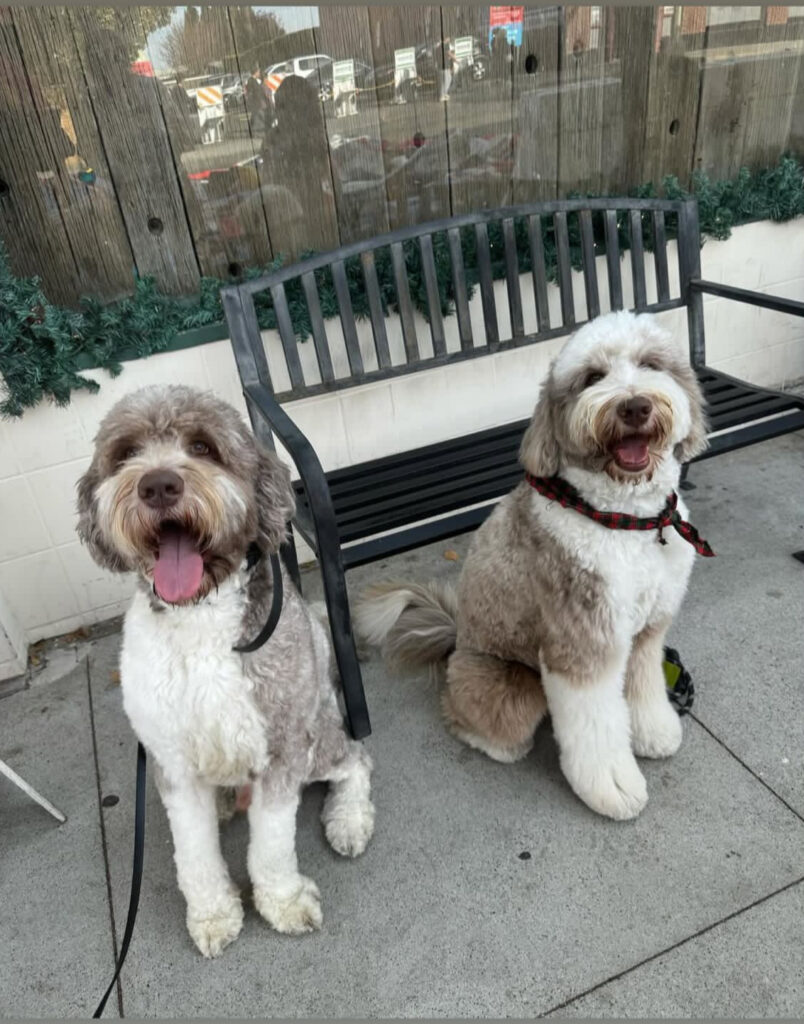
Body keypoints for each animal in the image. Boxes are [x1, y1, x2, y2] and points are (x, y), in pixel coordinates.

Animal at [76, 385, 374, 958]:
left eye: (203, 447)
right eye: (126, 453)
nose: (158, 484)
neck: (201, 616)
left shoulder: (280, 750)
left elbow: (272, 846)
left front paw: (282, 904)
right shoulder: (171, 760)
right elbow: (194, 853)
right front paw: (213, 915)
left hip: (319, 737)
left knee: (355, 760)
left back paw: (348, 819)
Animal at [358, 311, 708, 823]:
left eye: (650, 364)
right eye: (592, 378)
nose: (634, 407)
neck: (625, 520)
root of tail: (456, 641)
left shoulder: (646, 633)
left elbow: (643, 685)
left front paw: (654, 732)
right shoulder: (581, 644)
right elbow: (596, 726)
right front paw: (613, 788)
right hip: (510, 683)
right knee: (474, 716)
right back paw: (492, 742)